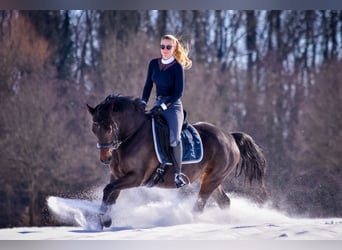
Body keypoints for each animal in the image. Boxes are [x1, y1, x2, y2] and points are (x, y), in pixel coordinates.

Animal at [86, 94, 268, 229]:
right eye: (94, 129)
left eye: (109, 127)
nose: (105, 158)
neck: (133, 135)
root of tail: (229, 136)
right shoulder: (117, 176)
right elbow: (109, 194)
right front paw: (103, 222)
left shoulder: (136, 177)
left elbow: (109, 190)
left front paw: (105, 220)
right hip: (210, 179)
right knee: (224, 202)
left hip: (213, 179)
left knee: (200, 205)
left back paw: (187, 222)